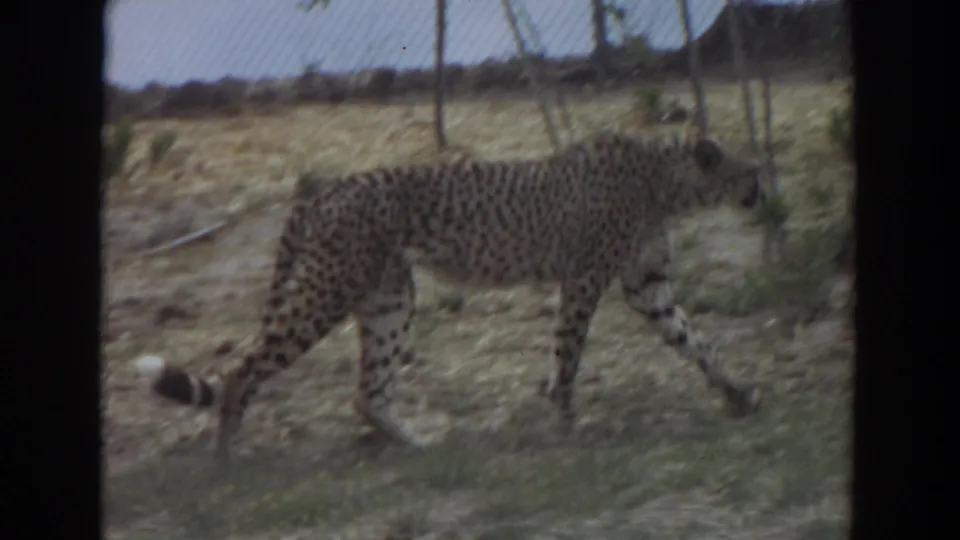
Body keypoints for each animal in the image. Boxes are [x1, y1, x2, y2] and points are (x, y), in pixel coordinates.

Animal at [135, 130, 764, 460]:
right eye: (749, 172)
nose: (763, 193)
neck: (667, 179)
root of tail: (327, 189)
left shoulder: (646, 286)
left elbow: (694, 340)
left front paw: (737, 392)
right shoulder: (584, 280)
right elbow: (569, 355)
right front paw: (567, 424)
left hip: (389, 299)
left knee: (367, 391)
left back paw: (416, 444)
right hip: (327, 291)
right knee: (243, 367)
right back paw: (225, 453)